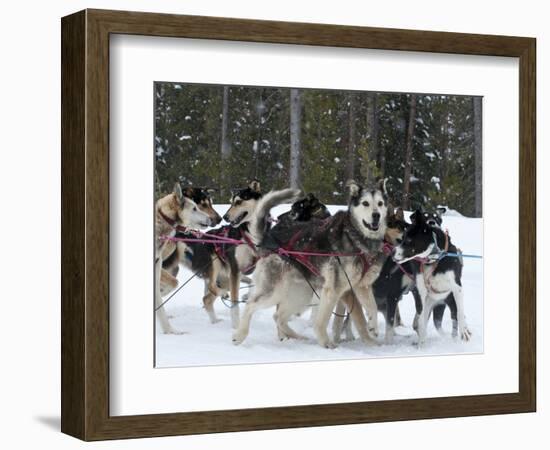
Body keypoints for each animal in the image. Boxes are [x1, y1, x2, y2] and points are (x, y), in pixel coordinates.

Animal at [392, 211, 474, 344]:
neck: (433, 259)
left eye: (408, 239)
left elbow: (461, 313)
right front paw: (421, 344)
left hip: (450, 302)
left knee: (455, 316)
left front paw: (464, 331)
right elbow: (421, 321)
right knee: (425, 321)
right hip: (430, 305)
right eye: (402, 238)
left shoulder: (457, 288)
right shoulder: (421, 292)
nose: (392, 253)